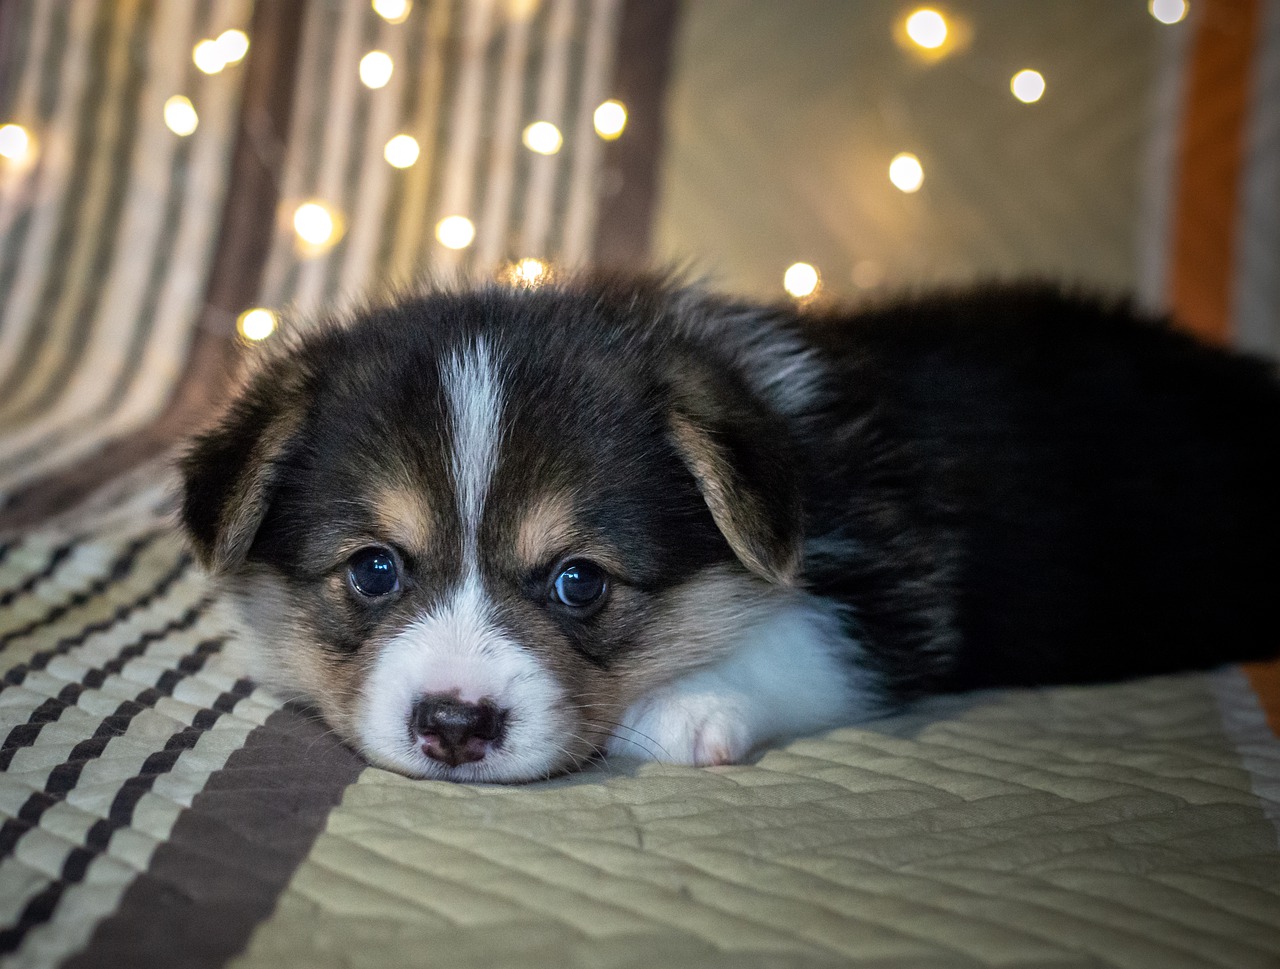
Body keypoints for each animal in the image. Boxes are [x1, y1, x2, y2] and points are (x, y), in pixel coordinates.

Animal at [177, 270, 1280, 778]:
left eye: (579, 581)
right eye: (374, 570)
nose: (454, 726)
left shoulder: (879, 602)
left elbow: (791, 646)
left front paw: (685, 708)